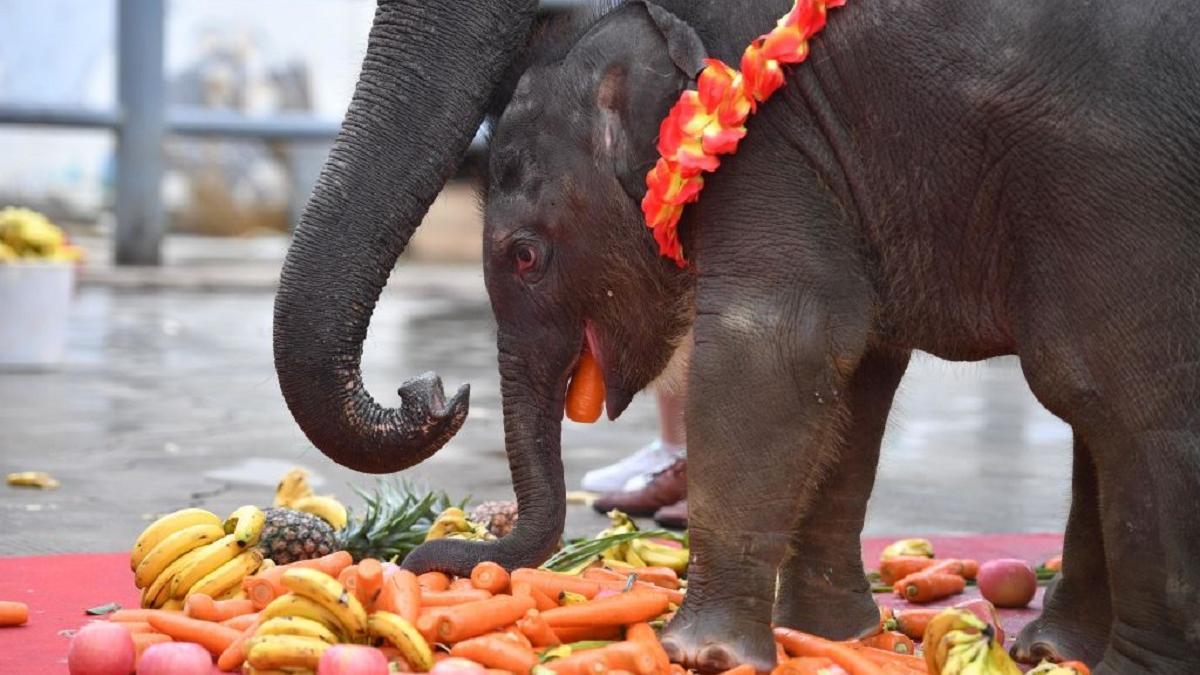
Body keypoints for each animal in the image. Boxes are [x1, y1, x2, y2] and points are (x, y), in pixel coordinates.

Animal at [274, 1, 1200, 672]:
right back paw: (1054, 651)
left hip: (1114, 187)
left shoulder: (775, 138)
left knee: (1116, 395)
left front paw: (703, 655)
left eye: (524, 255)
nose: (433, 389)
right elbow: (856, 367)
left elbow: (779, 341)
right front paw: (834, 637)